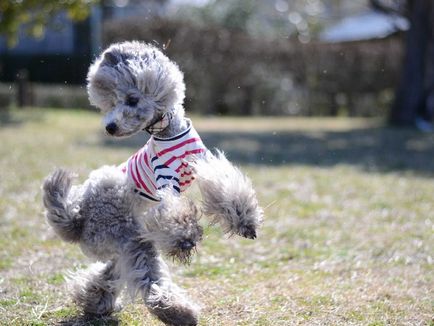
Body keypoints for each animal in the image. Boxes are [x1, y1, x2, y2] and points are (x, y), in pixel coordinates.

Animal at [42, 40, 262, 326]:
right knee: (147, 279)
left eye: (132, 99)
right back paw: (179, 312)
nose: (110, 127)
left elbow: (226, 188)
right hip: (127, 233)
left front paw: (246, 221)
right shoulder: (165, 182)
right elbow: (173, 213)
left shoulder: (202, 163)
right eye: (110, 104)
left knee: (113, 271)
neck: (168, 133)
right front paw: (185, 237)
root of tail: (77, 219)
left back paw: (94, 302)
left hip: (123, 242)